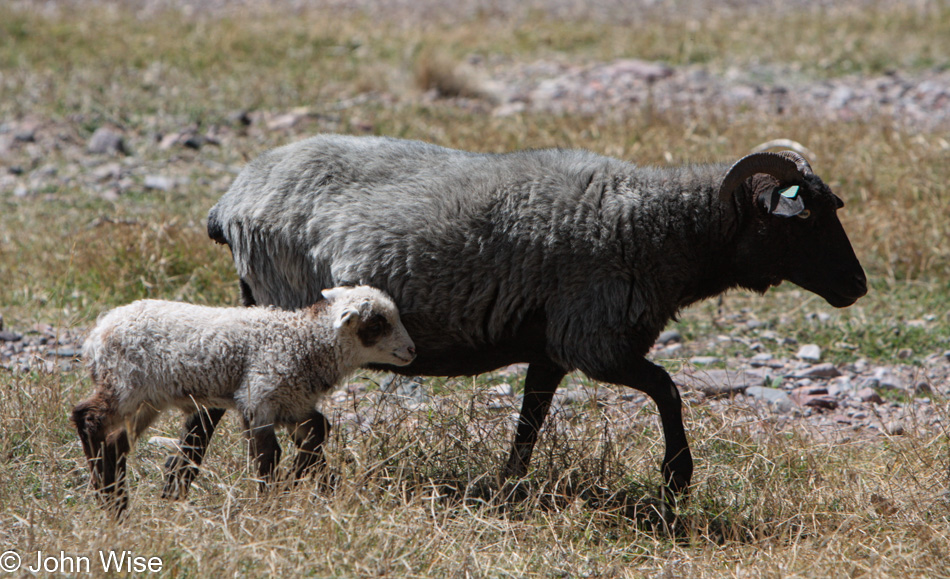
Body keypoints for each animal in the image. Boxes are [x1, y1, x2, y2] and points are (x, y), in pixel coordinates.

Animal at [72, 284, 414, 512]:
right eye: (377, 323)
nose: (412, 350)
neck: (303, 340)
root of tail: (96, 334)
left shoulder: (293, 402)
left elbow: (318, 431)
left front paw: (310, 486)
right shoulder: (259, 397)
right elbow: (268, 455)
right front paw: (271, 501)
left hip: (146, 400)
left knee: (115, 441)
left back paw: (117, 498)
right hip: (124, 384)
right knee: (87, 417)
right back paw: (106, 494)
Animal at [165, 135, 872, 502]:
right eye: (804, 220)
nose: (858, 287)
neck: (658, 229)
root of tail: (230, 202)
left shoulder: (551, 346)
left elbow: (531, 420)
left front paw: (507, 486)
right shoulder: (594, 340)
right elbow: (668, 390)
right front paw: (677, 480)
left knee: (211, 405)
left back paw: (181, 487)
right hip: (287, 311)